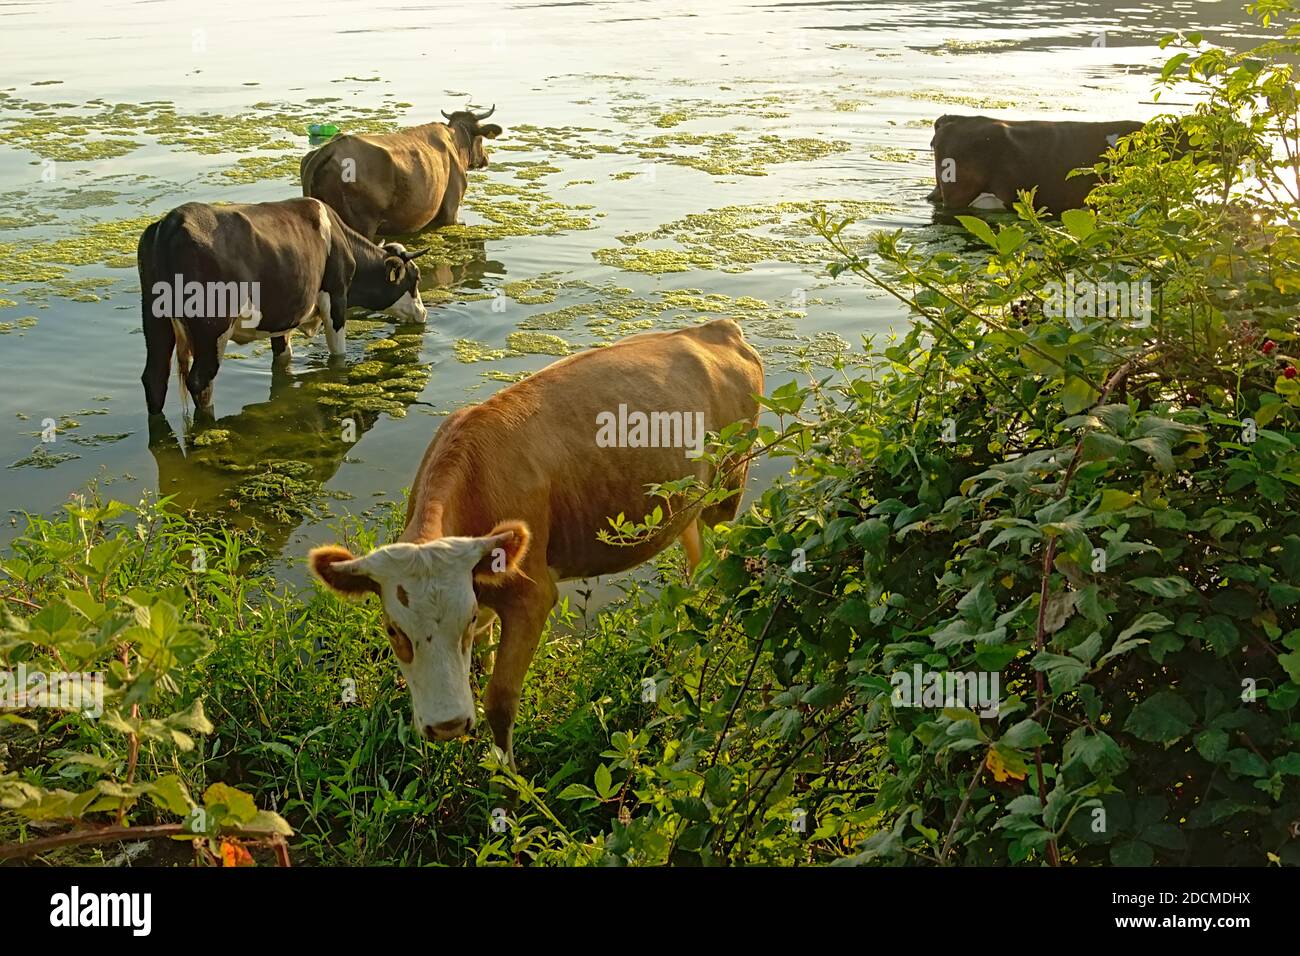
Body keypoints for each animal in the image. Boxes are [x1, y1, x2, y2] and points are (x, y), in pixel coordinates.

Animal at [140, 195, 428, 416]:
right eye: (415, 278)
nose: (423, 313)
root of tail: (171, 222)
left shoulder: (283, 316)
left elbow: (282, 357)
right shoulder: (335, 298)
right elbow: (338, 354)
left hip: (156, 322)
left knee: (154, 377)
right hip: (212, 329)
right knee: (201, 380)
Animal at [301, 103, 504, 239]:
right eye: (481, 139)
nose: (486, 158)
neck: (456, 142)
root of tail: (332, 146)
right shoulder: (451, 211)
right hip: (362, 224)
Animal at [310, 319, 764, 770]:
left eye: (464, 619)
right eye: (391, 629)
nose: (448, 725)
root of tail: (716, 327)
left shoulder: (533, 596)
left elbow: (499, 701)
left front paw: (508, 780)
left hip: (727, 492)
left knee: (717, 566)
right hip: (689, 507)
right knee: (696, 565)